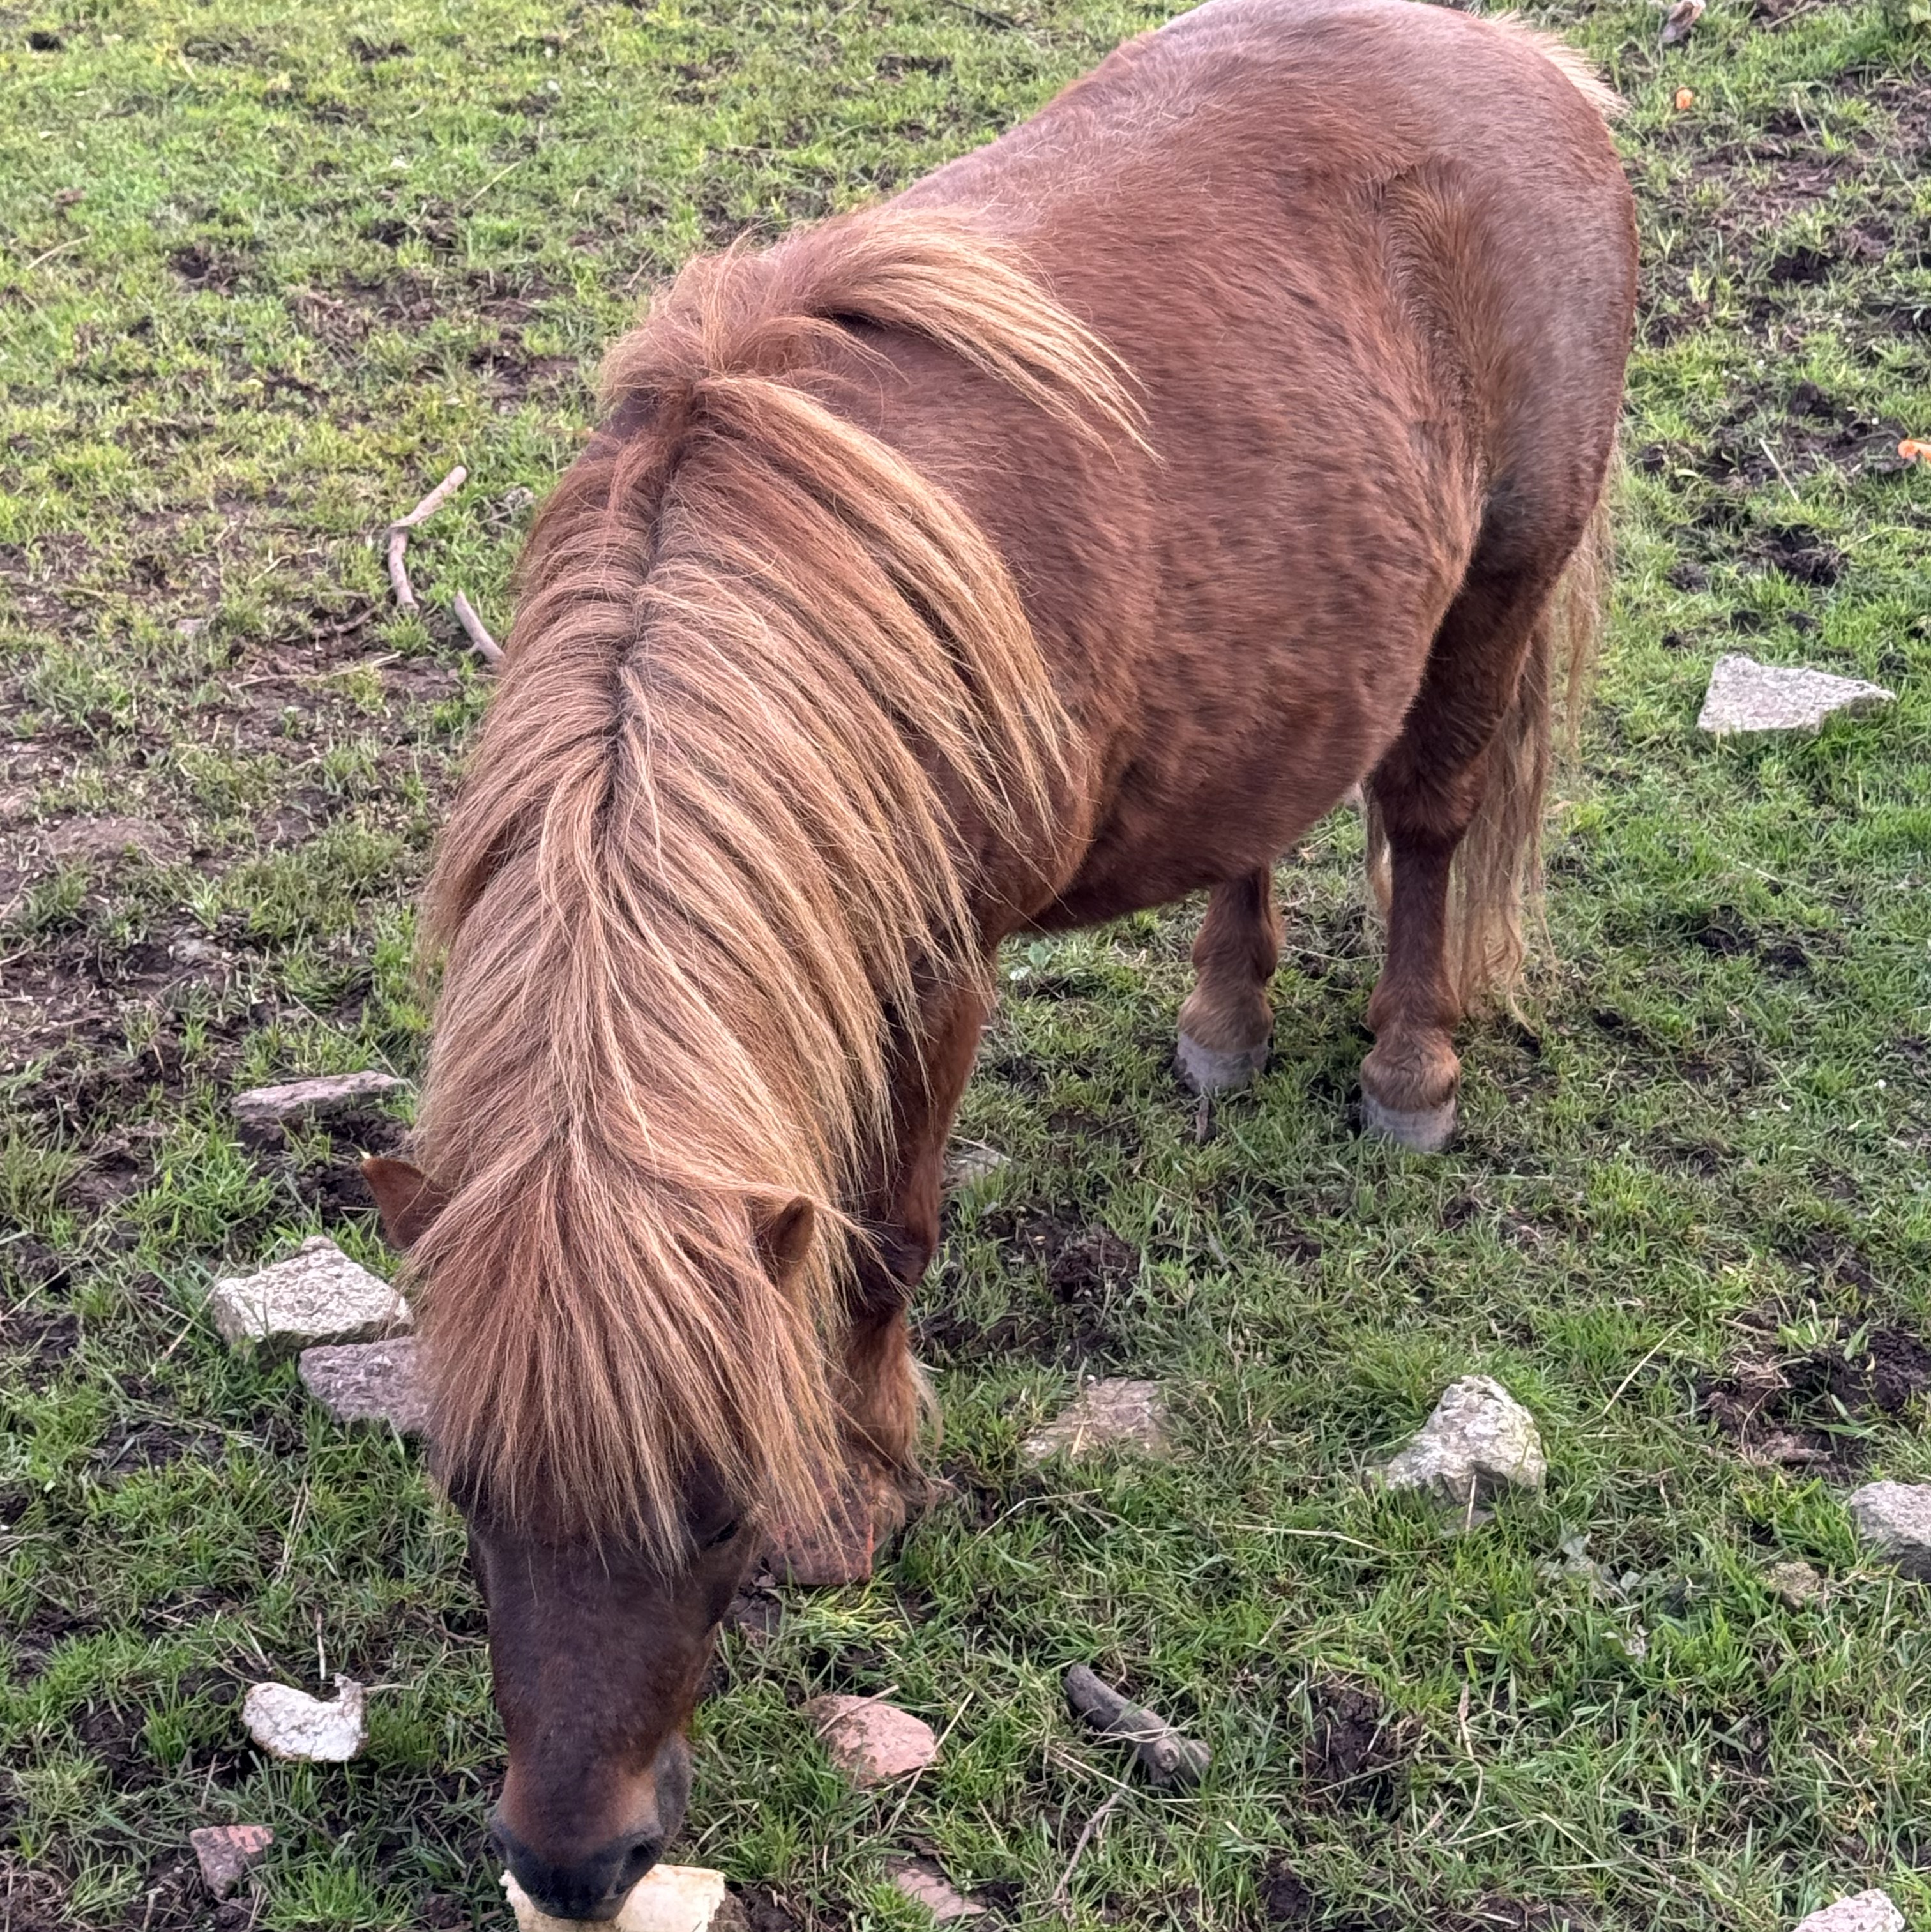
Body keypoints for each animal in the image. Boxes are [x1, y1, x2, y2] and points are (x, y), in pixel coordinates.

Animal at [362, 0, 1635, 1913]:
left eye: (723, 1501)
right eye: (465, 1489)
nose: (576, 1866)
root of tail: (1530, 66)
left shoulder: (934, 966)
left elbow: (886, 1233)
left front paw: (868, 1486)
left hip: (1498, 579)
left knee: (1426, 814)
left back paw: (1408, 1073)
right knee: (1262, 814)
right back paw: (1222, 1023)